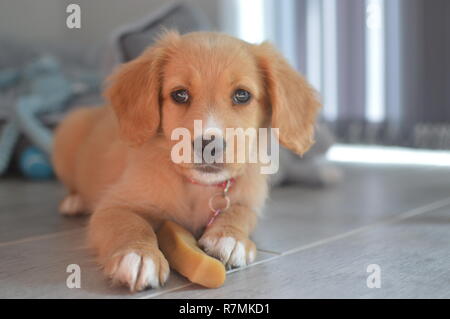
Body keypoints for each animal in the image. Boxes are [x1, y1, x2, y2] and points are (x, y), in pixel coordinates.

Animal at [51, 30, 320, 292]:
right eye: (179, 94)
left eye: (242, 95)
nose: (209, 145)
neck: (197, 187)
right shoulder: (114, 206)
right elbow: (130, 224)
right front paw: (139, 255)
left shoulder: (248, 200)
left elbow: (239, 212)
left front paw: (229, 237)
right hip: (67, 133)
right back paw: (74, 201)